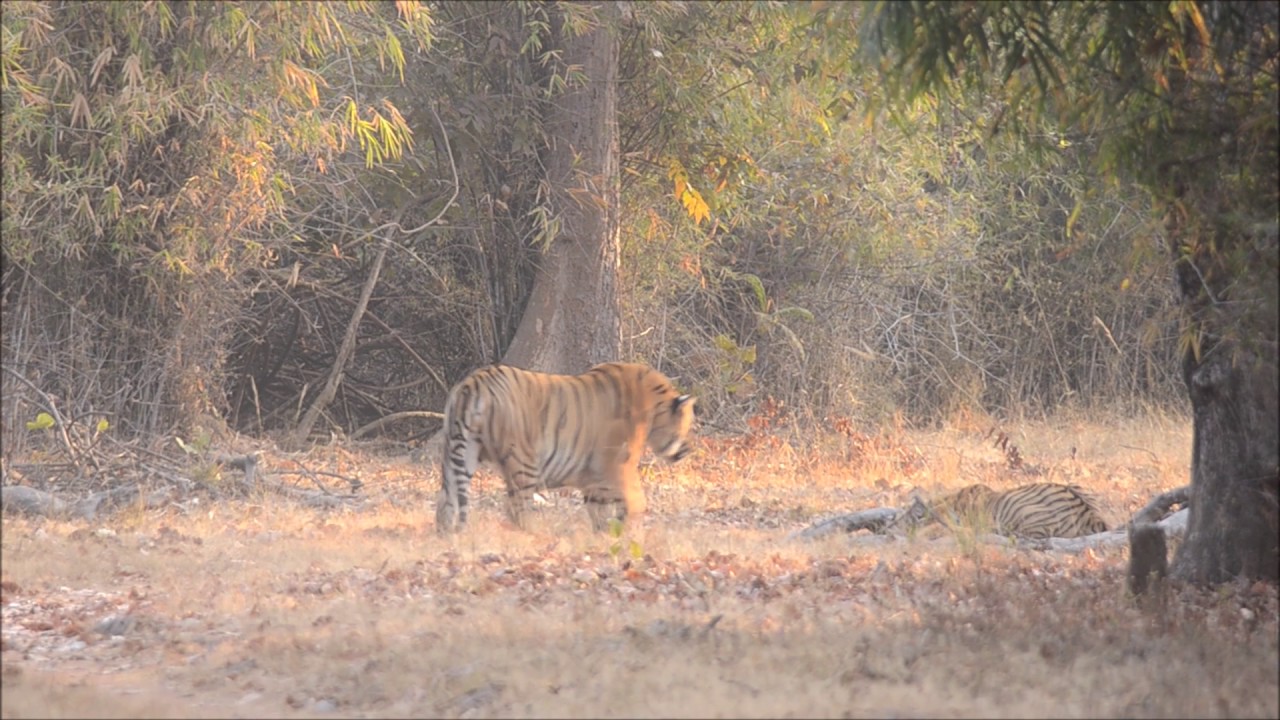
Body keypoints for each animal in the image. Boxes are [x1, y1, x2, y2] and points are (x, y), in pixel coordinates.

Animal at [434, 362, 696, 534]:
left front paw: (606, 534)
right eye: (687, 423)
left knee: (446, 504)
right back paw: (534, 536)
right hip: (523, 462)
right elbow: (634, 499)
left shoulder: (594, 476)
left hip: (459, 453)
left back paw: (447, 537)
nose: (688, 449)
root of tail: (472, 383)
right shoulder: (618, 464)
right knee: (517, 508)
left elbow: (600, 509)